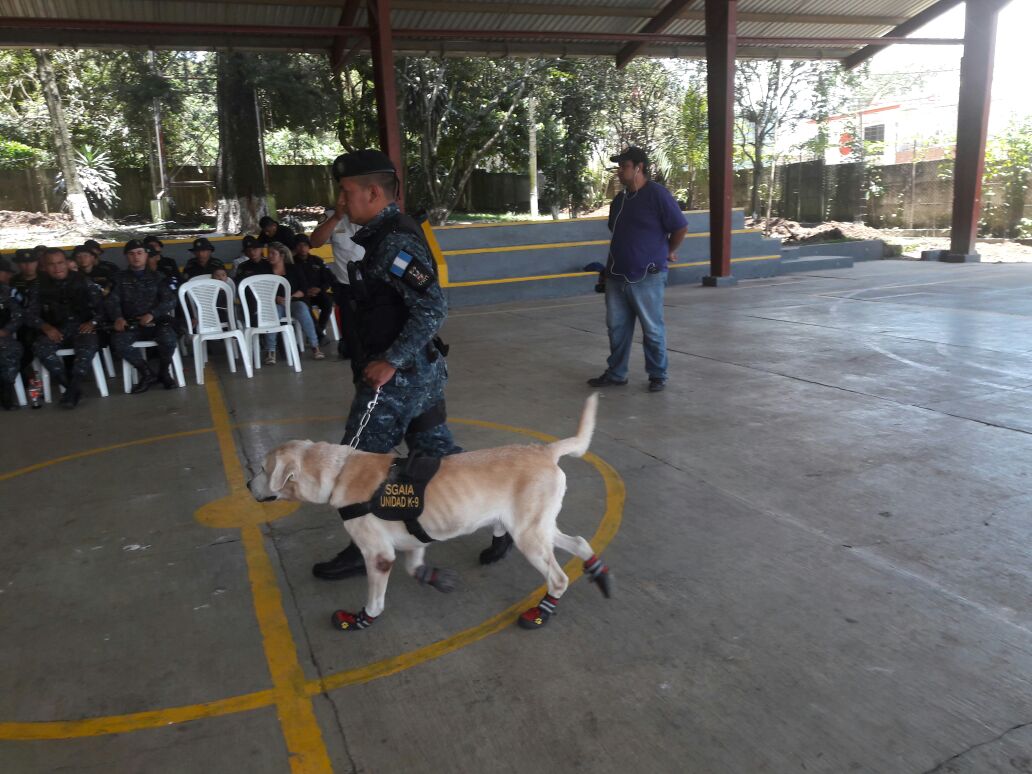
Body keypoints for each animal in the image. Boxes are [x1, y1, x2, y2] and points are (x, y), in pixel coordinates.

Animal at [245, 396, 606, 631]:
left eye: (262, 469)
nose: (248, 484)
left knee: (558, 578)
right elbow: (414, 565)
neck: (339, 471)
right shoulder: (413, 538)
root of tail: (544, 450)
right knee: (578, 541)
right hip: (536, 527)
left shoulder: (378, 555)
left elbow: (376, 600)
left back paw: (541, 612)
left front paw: (360, 619)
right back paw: (597, 570)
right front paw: (433, 577)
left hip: (529, 535)